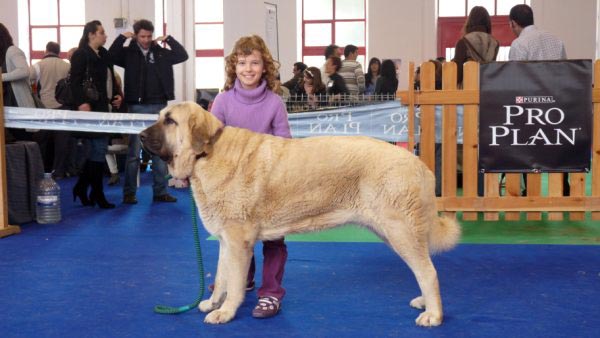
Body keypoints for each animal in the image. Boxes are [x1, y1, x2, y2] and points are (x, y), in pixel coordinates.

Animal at [141, 101, 460, 326]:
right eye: (160, 116)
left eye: (170, 121)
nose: (142, 135)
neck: (207, 153)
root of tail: (418, 163)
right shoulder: (225, 241)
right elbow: (221, 278)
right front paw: (213, 303)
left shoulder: (238, 242)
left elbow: (234, 283)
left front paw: (226, 313)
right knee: (424, 269)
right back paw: (425, 303)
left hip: (400, 231)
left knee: (428, 271)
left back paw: (433, 315)